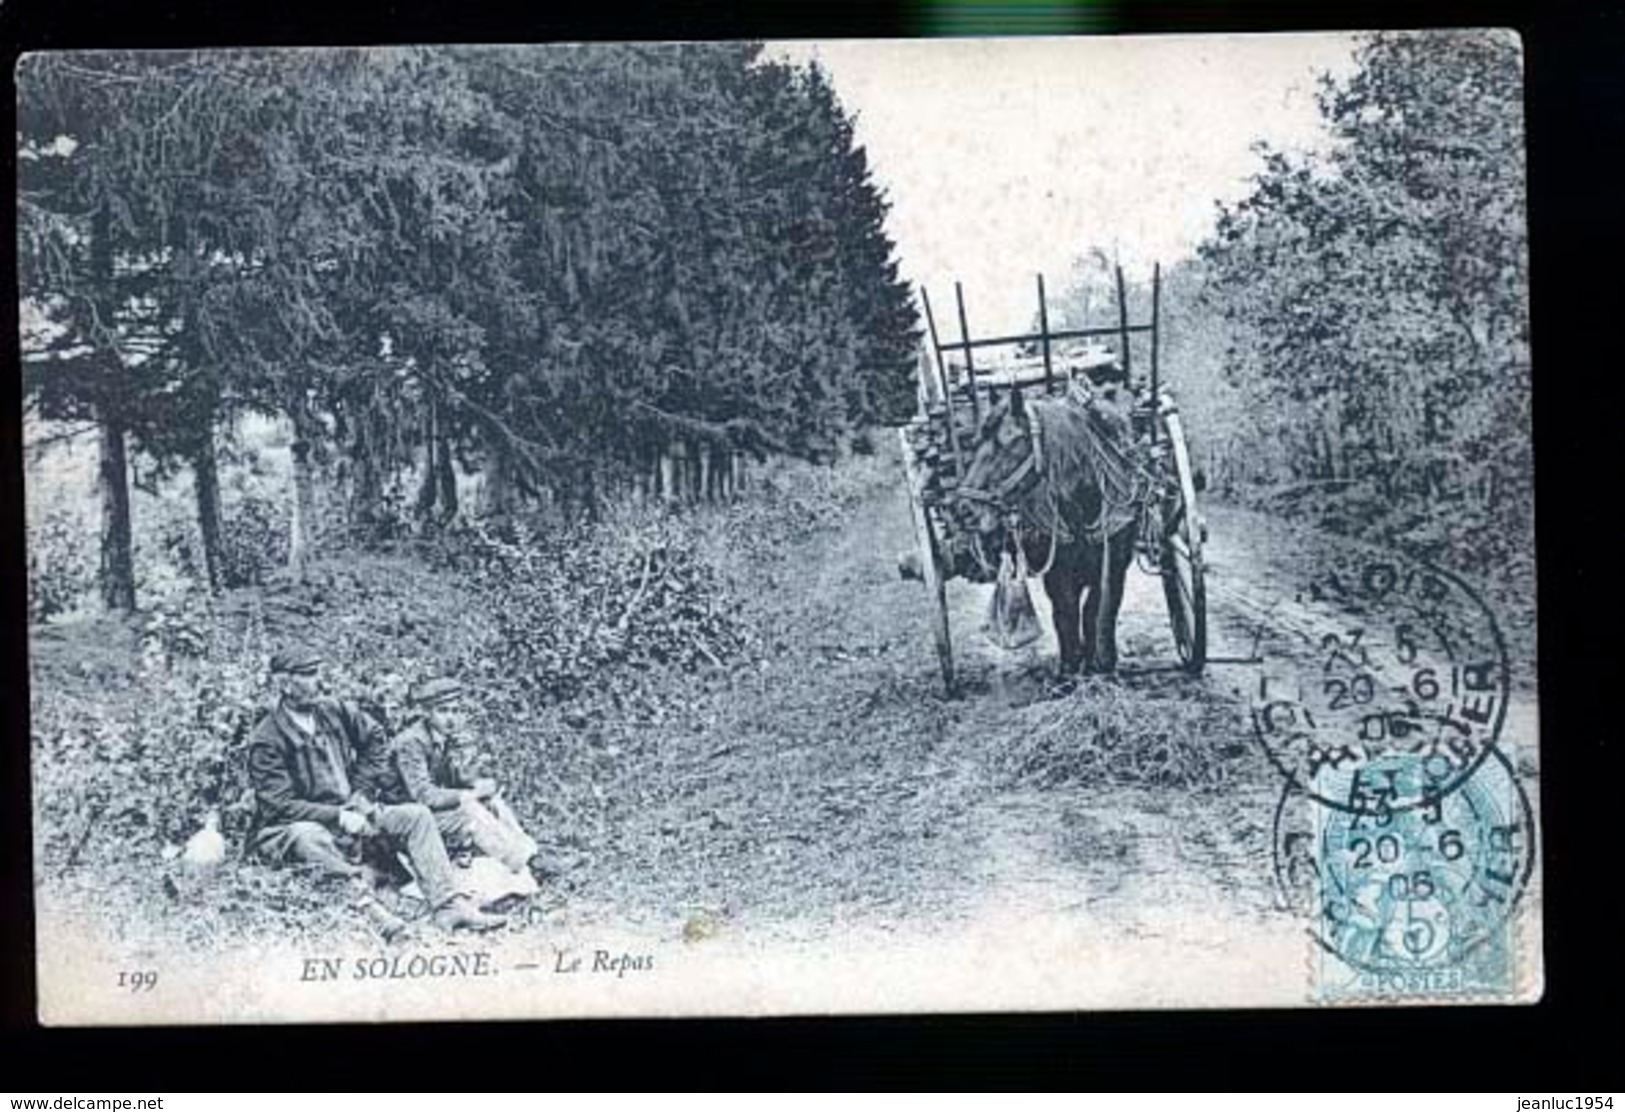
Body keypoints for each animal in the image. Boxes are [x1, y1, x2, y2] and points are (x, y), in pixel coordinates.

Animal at [949, 382, 1150, 676]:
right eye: (976, 444)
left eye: (1007, 442)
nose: (963, 509)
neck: (1082, 503)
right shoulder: (1057, 572)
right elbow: (1066, 613)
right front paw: (1071, 667)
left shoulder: (1114, 565)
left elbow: (1097, 609)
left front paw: (1101, 664)